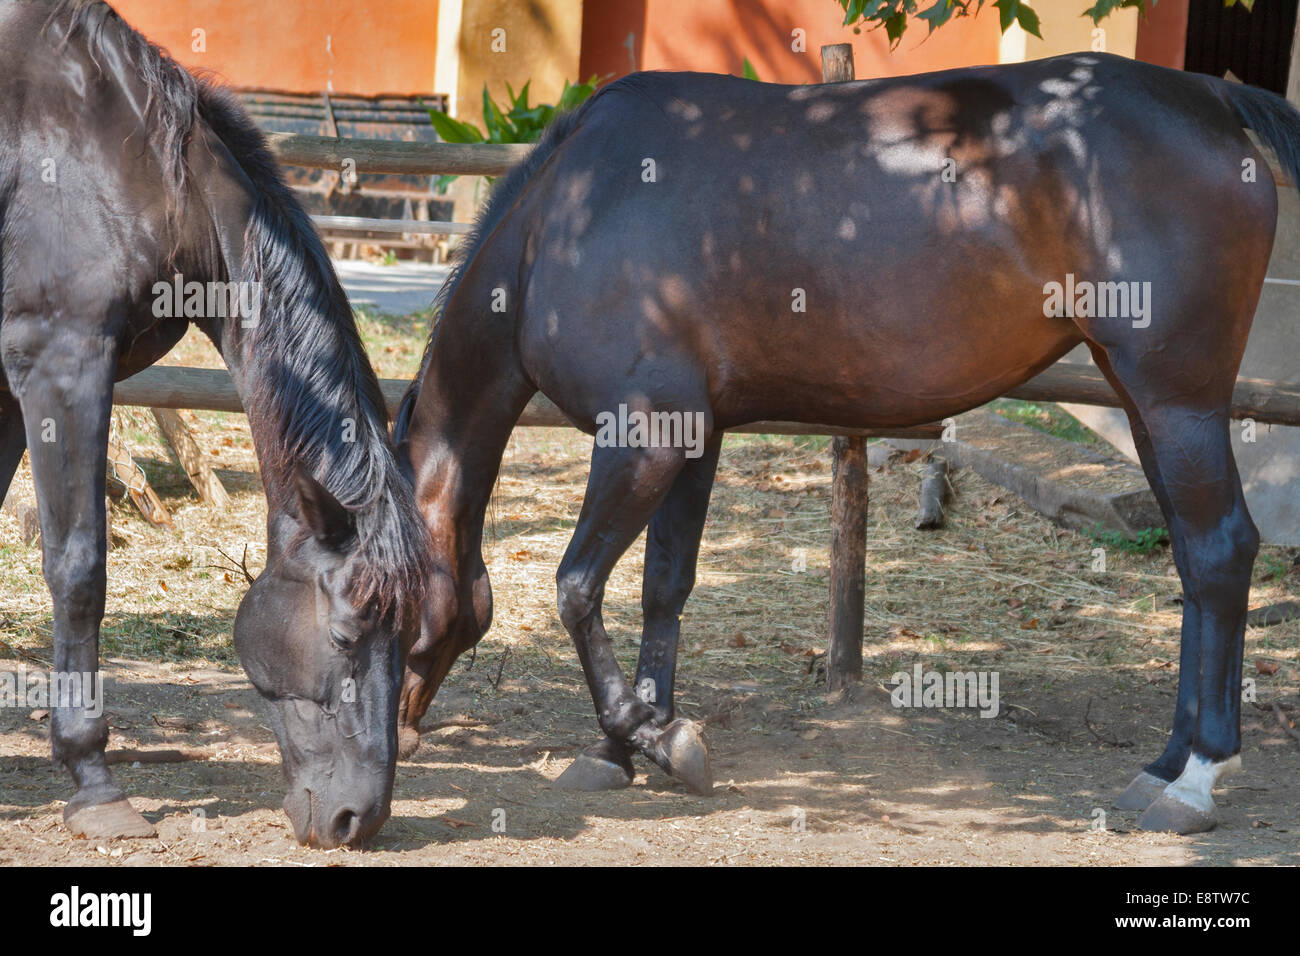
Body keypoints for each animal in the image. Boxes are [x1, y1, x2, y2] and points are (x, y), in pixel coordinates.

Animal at [2, 1, 434, 853]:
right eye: (345, 638)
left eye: (412, 636)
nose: (356, 819)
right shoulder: (61, 365)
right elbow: (79, 571)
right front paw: (92, 779)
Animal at [395, 52, 1300, 832]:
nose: (395, 729)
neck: (564, 219)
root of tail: (1210, 97)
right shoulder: (692, 440)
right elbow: (663, 590)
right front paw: (625, 743)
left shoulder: (642, 439)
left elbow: (577, 587)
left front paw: (653, 737)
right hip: (1142, 400)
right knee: (1194, 566)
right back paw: (1165, 762)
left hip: (1177, 401)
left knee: (1220, 551)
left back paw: (1194, 780)